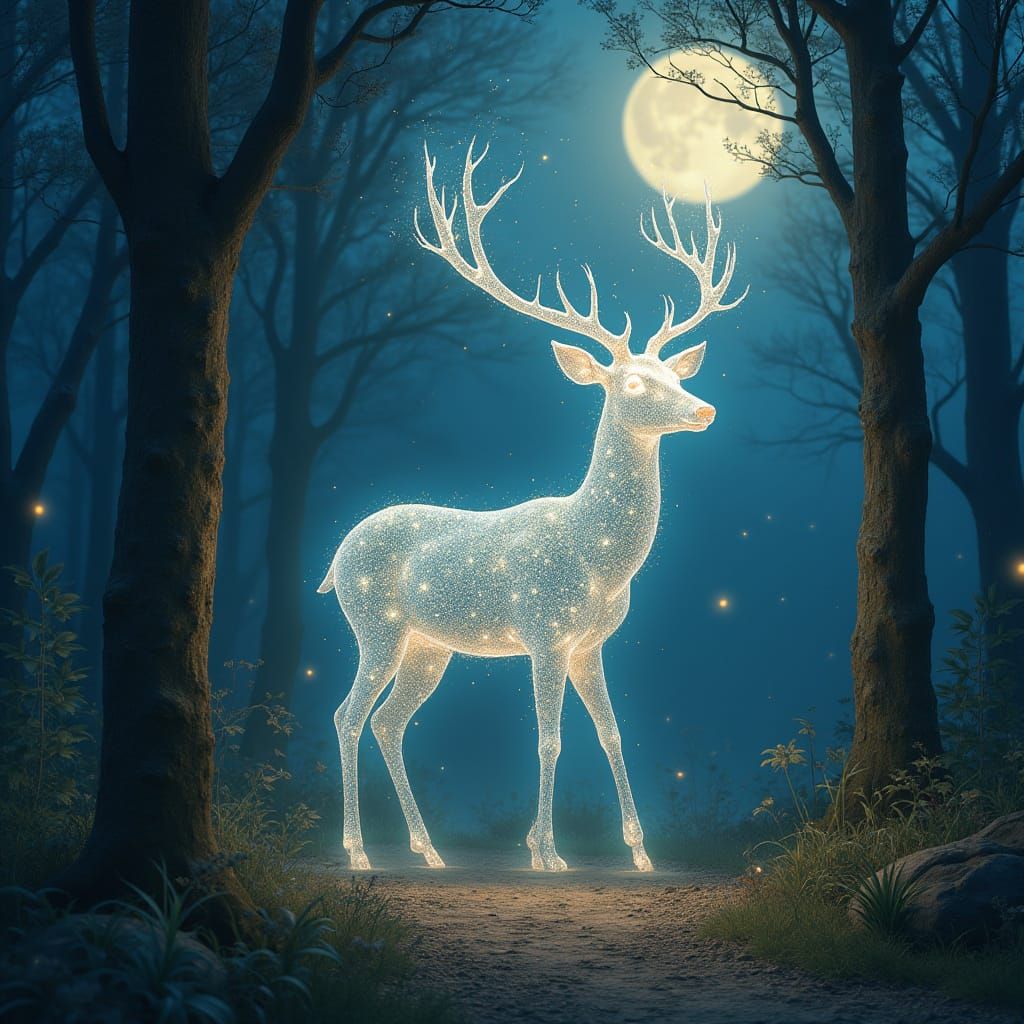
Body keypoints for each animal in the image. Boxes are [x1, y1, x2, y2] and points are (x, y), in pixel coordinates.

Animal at [318, 140, 746, 873]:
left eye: (675, 373)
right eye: (634, 382)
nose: (706, 409)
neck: (598, 559)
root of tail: (334, 555)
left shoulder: (591, 643)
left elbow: (613, 734)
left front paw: (640, 853)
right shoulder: (544, 630)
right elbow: (550, 737)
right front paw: (546, 852)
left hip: (429, 645)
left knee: (390, 721)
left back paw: (428, 851)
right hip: (374, 622)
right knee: (348, 715)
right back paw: (358, 853)